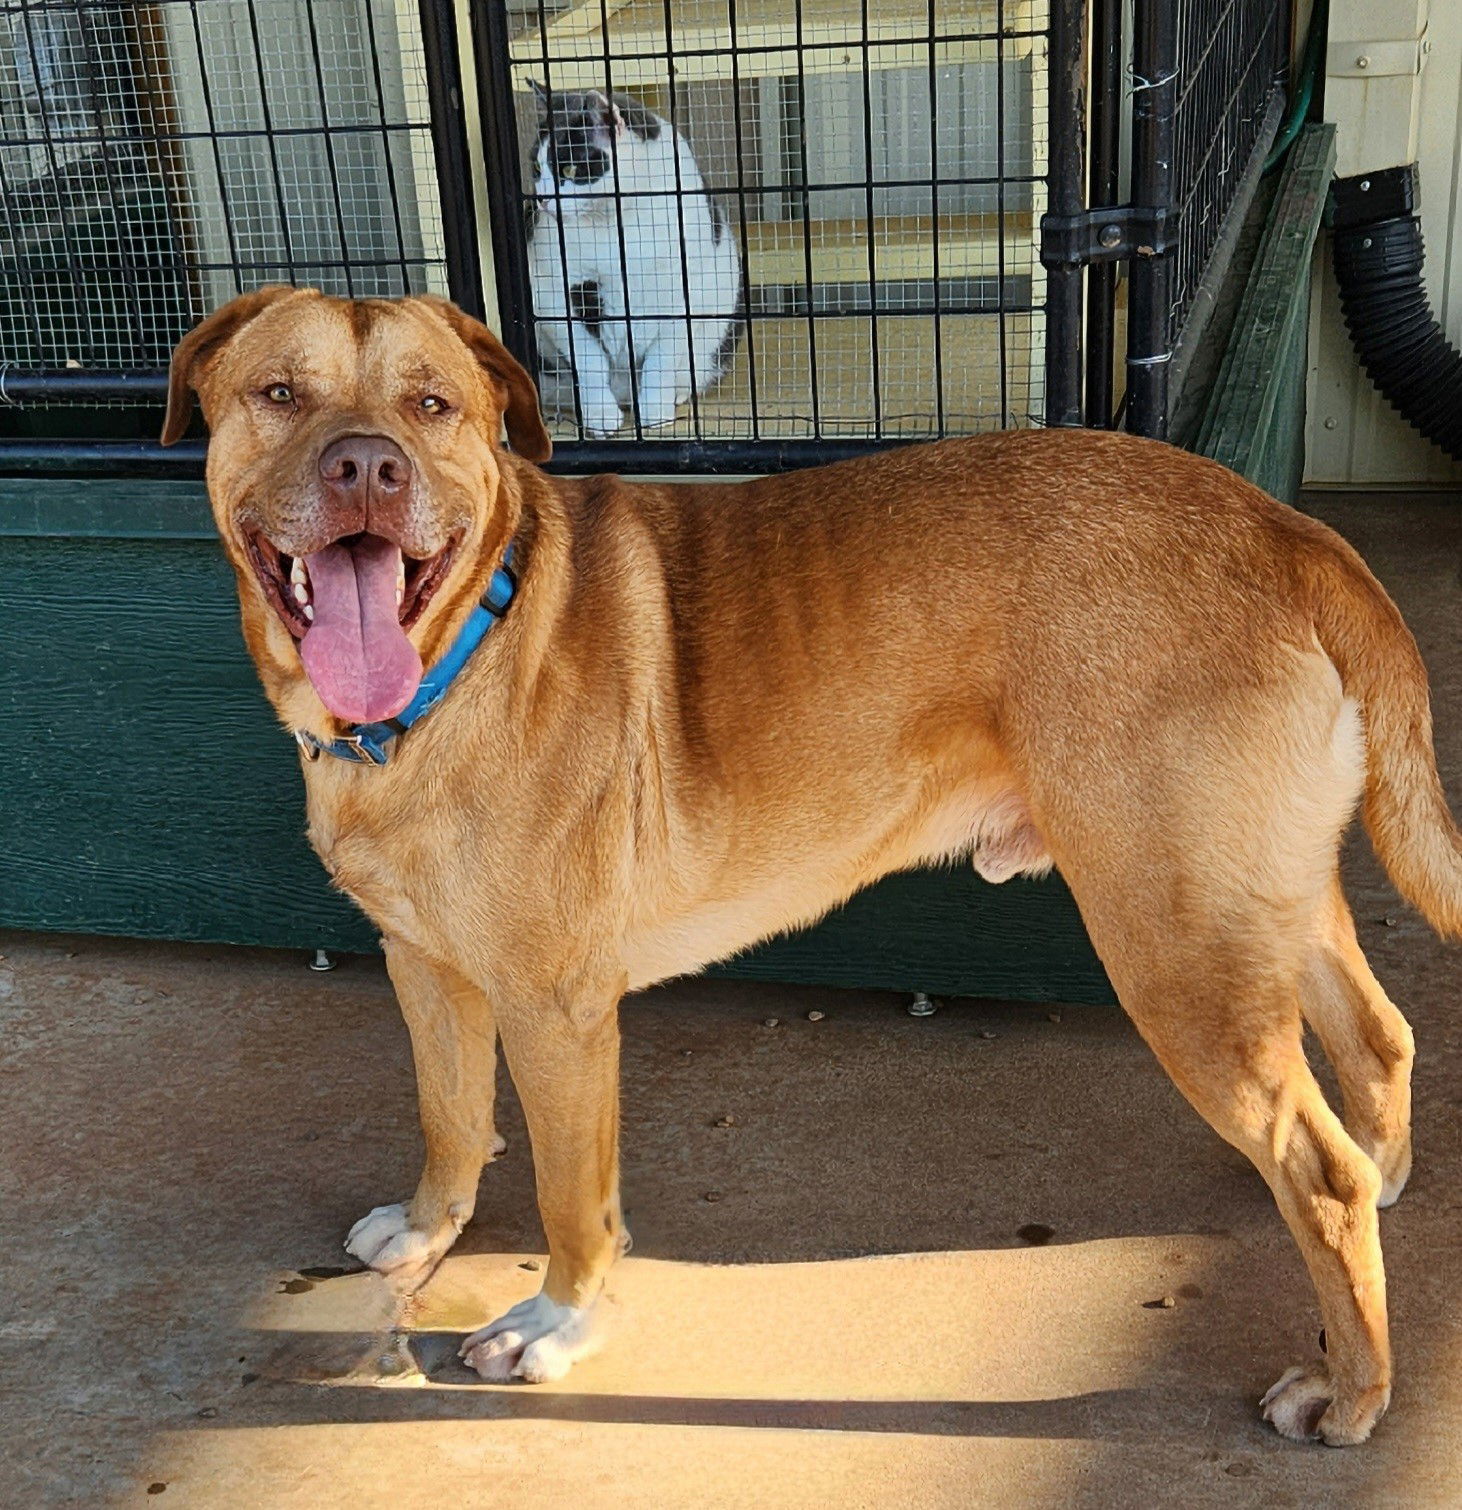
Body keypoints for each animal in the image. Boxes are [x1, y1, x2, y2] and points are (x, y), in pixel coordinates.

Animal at [163, 288, 1449, 1443]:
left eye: (430, 405)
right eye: (280, 394)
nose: (366, 469)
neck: (453, 656)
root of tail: (1281, 528)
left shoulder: (556, 1009)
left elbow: (573, 1200)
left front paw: (557, 1324)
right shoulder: (422, 965)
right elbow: (447, 1116)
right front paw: (433, 1231)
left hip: (1176, 951)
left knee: (1316, 1172)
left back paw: (1353, 1389)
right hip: (1261, 906)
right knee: (1377, 1041)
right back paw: (1383, 1191)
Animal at [525, 85, 743, 437]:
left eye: (570, 169)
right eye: (535, 168)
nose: (542, 199)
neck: (611, 224)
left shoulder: (680, 297)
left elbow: (660, 363)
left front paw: (655, 413)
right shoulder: (551, 291)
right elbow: (589, 359)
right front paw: (600, 416)